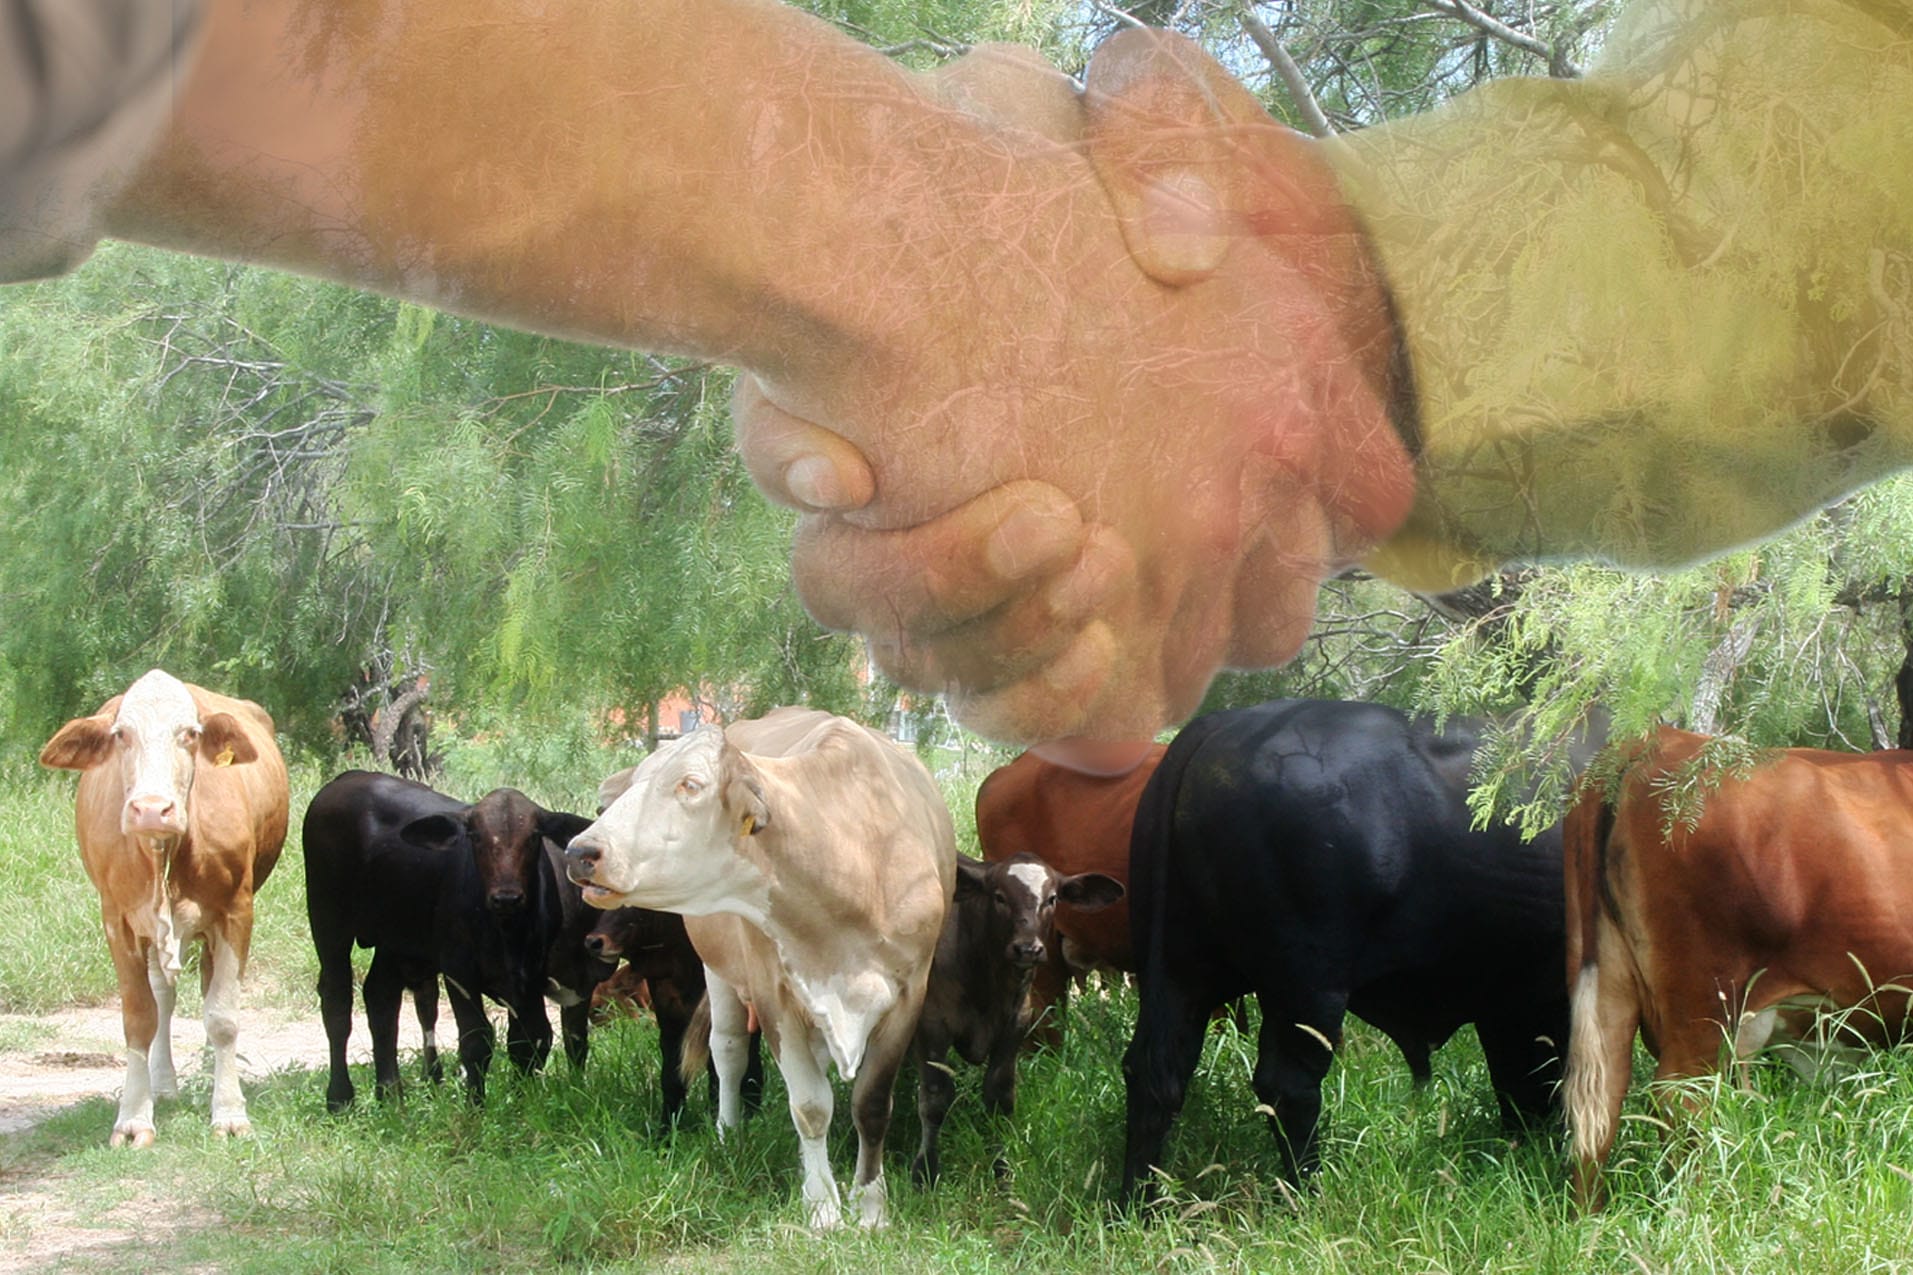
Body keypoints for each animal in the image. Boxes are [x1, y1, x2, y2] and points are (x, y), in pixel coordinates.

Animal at [38, 669, 289, 1147]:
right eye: (121, 735)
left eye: (189, 734)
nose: (152, 809)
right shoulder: (117, 920)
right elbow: (140, 1017)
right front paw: (134, 1118)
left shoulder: (236, 911)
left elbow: (222, 1016)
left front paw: (229, 1111)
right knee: (163, 996)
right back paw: (163, 1082)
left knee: (208, 987)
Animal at [302, 771, 593, 1110]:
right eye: (476, 836)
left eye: (534, 836)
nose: (506, 897)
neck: (508, 933)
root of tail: (347, 778)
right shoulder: (459, 971)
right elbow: (476, 1041)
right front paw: (475, 1107)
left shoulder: (530, 976)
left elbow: (529, 1040)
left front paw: (524, 1103)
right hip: (327, 920)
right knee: (337, 1001)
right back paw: (340, 1098)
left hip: (395, 939)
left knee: (381, 999)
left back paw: (391, 1094)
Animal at [911, 853, 1123, 1185]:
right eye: (999, 896)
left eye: (1052, 899)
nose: (1027, 948)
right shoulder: (931, 1026)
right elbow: (934, 1101)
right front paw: (926, 1170)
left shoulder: (1015, 1026)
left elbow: (1000, 1098)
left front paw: (1002, 1168)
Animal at [1120, 699, 1572, 1201]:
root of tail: (1216, 727)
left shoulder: (1510, 1002)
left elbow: (1523, 1081)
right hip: (1306, 987)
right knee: (1286, 1086)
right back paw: (1308, 1194)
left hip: (1179, 974)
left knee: (1156, 1075)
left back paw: (1138, 1202)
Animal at [1564, 727, 1913, 1208]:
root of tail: (1653, 742)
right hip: (1704, 1004)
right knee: (1679, 1099)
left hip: (1606, 977)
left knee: (1599, 1102)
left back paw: (1590, 1218)